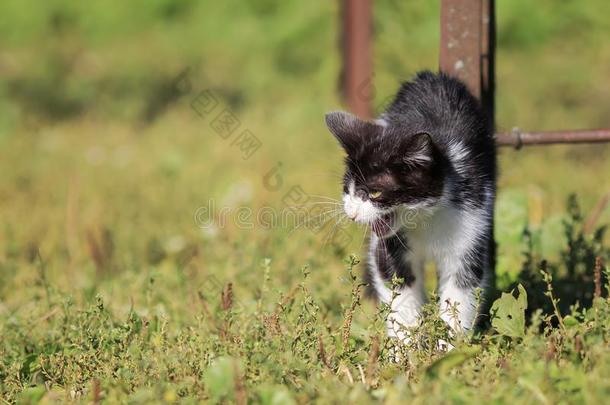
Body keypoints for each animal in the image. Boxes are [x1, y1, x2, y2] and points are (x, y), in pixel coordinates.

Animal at [324, 71, 494, 342]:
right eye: (347, 189)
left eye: (375, 192)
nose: (351, 213)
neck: (427, 217)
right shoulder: (389, 247)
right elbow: (396, 284)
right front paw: (405, 347)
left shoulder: (472, 218)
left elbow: (461, 290)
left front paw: (449, 347)